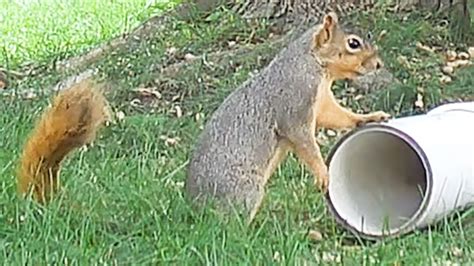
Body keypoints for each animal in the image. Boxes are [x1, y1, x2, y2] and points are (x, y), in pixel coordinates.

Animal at [184, 12, 388, 222]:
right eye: (353, 43)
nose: (378, 64)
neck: (314, 63)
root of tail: (194, 208)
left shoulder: (322, 103)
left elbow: (337, 116)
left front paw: (369, 117)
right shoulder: (295, 105)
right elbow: (305, 142)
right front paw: (323, 173)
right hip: (244, 191)